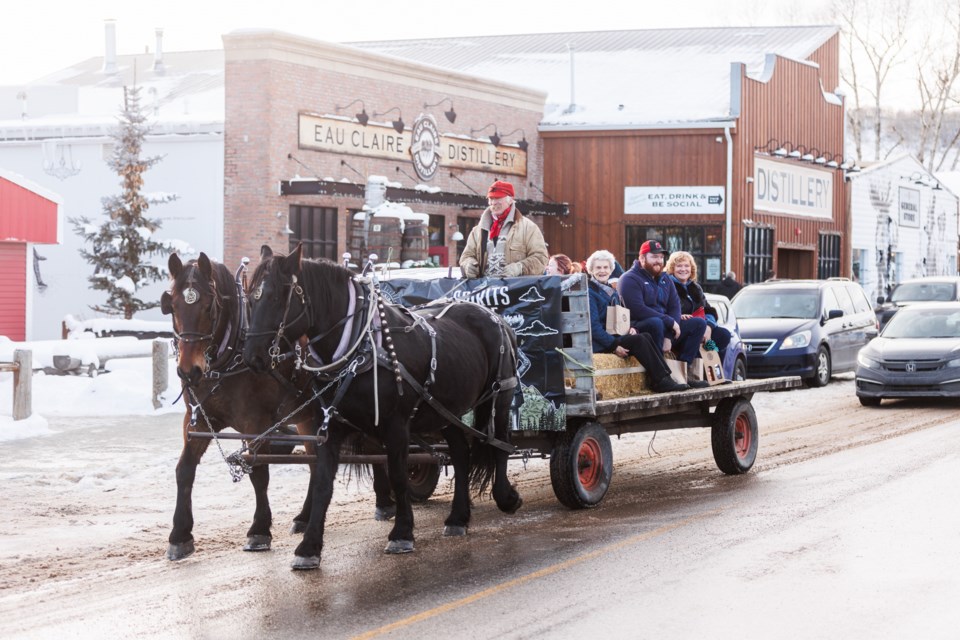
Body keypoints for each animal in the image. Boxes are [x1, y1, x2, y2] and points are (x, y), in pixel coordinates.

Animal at [161, 254, 398, 560]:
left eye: (208, 306)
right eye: (173, 305)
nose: (189, 371)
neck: (230, 355)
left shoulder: (256, 423)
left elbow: (259, 473)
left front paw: (259, 530)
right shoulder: (197, 420)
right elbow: (184, 470)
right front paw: (180, 534)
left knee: (369, 447)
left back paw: (383, 501)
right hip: (309, 418)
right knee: (316, 464)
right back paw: (306, 517)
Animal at [244, 245, 520, 568]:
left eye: (277, 297)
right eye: (250, 298)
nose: (252, 357)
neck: (358, 346)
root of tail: (495, 317)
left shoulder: (396, 424)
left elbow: (398, 475)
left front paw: (402, 532)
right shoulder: (331, 425)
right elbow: (323, 483)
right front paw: (308, 547)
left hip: (500, 397)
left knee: (500, 445)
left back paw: (505, 497)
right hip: (446, 410)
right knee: (462, 454)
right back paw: (458, 517)